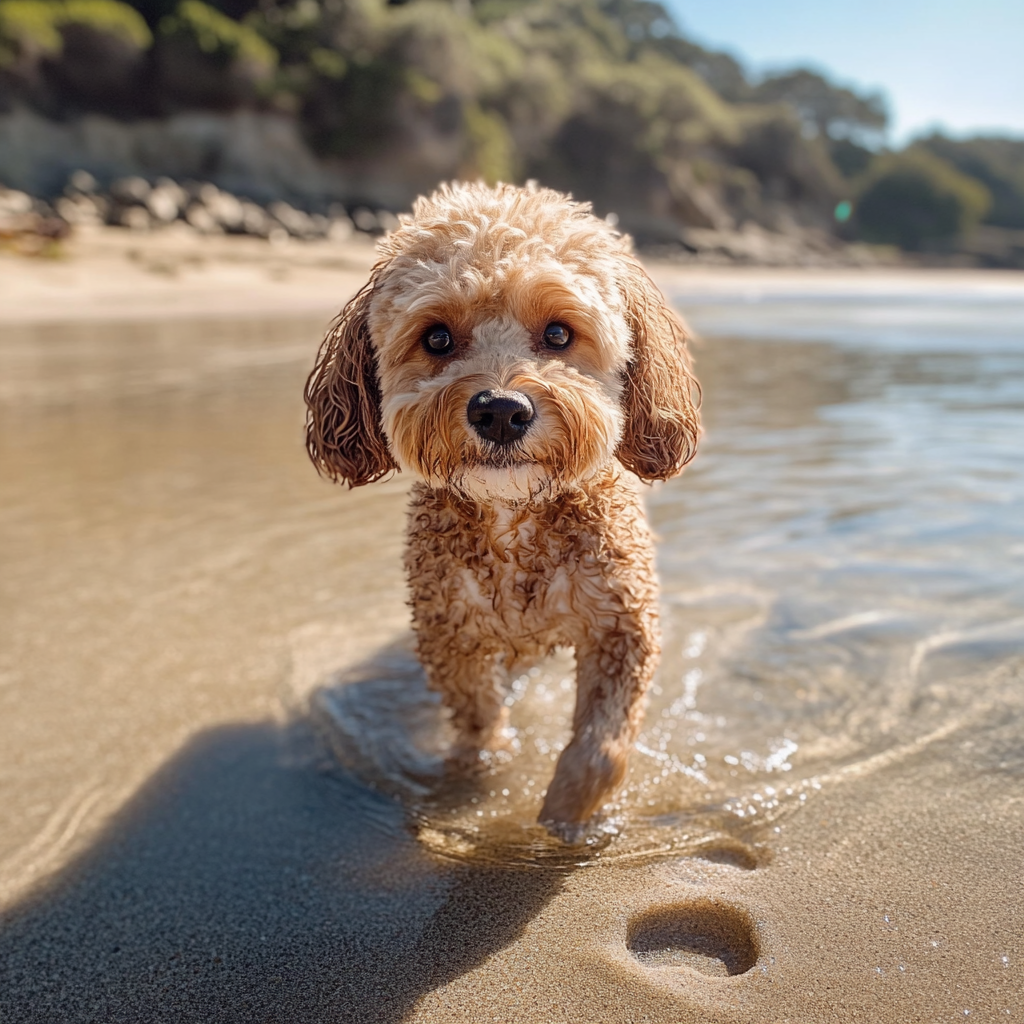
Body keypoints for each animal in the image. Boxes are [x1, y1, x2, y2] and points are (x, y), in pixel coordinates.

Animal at [303, 178, 700, 831]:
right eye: (437, 338)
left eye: (559, 334)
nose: (501, 411)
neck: (515, 520)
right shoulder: (449, 636)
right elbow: (477, 718)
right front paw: (480, 775)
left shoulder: (623, 625)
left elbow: (602, 749)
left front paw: (562, 819)